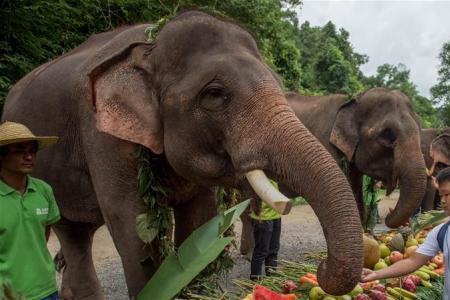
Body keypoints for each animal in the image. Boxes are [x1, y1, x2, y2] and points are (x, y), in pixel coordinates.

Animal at [1, 10, 364, 298]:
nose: (321, 266)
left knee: (77, 234)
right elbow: (133, 227)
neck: (149, 47)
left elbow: (199, 219)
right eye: (215, 94)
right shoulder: (102, 135)